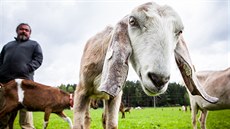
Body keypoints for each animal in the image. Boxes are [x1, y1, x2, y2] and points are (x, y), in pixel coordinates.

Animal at [73, 2, 217, 129]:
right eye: (132, 21)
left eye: (180, 31)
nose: (159, 79)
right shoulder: (81, 92)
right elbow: (78, 124)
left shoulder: (115, 96)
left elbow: (112, 124)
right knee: (87, 119)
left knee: (103, 118)